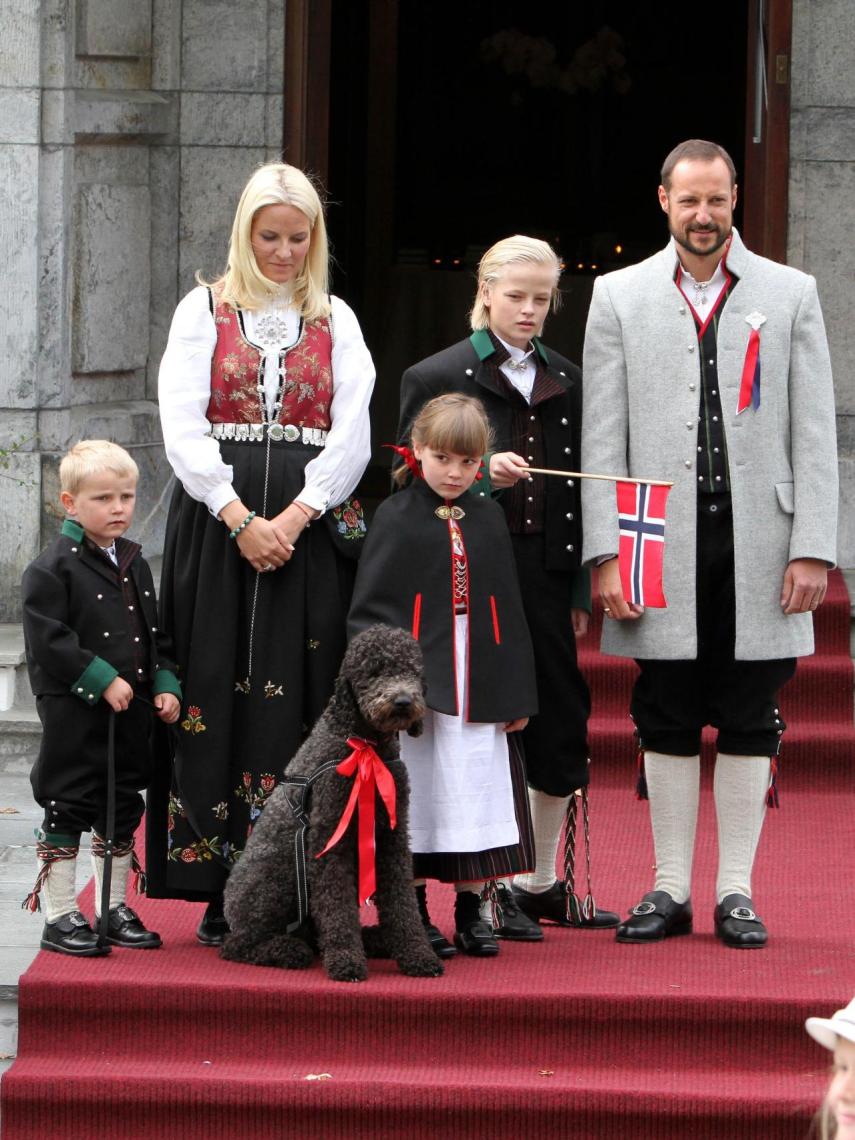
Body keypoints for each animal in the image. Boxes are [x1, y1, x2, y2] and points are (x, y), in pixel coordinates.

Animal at [221, 624, 442, 980]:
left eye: (411, 670)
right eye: (374, 671)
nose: (403, 701)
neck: (364, 745)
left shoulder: (392, 838)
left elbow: (402, 903)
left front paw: (417, 953)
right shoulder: (329, 842)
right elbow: (337, 910)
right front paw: (346, 960)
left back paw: (375, 938)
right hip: (278, 878)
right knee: (239, 945)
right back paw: (288, 950)